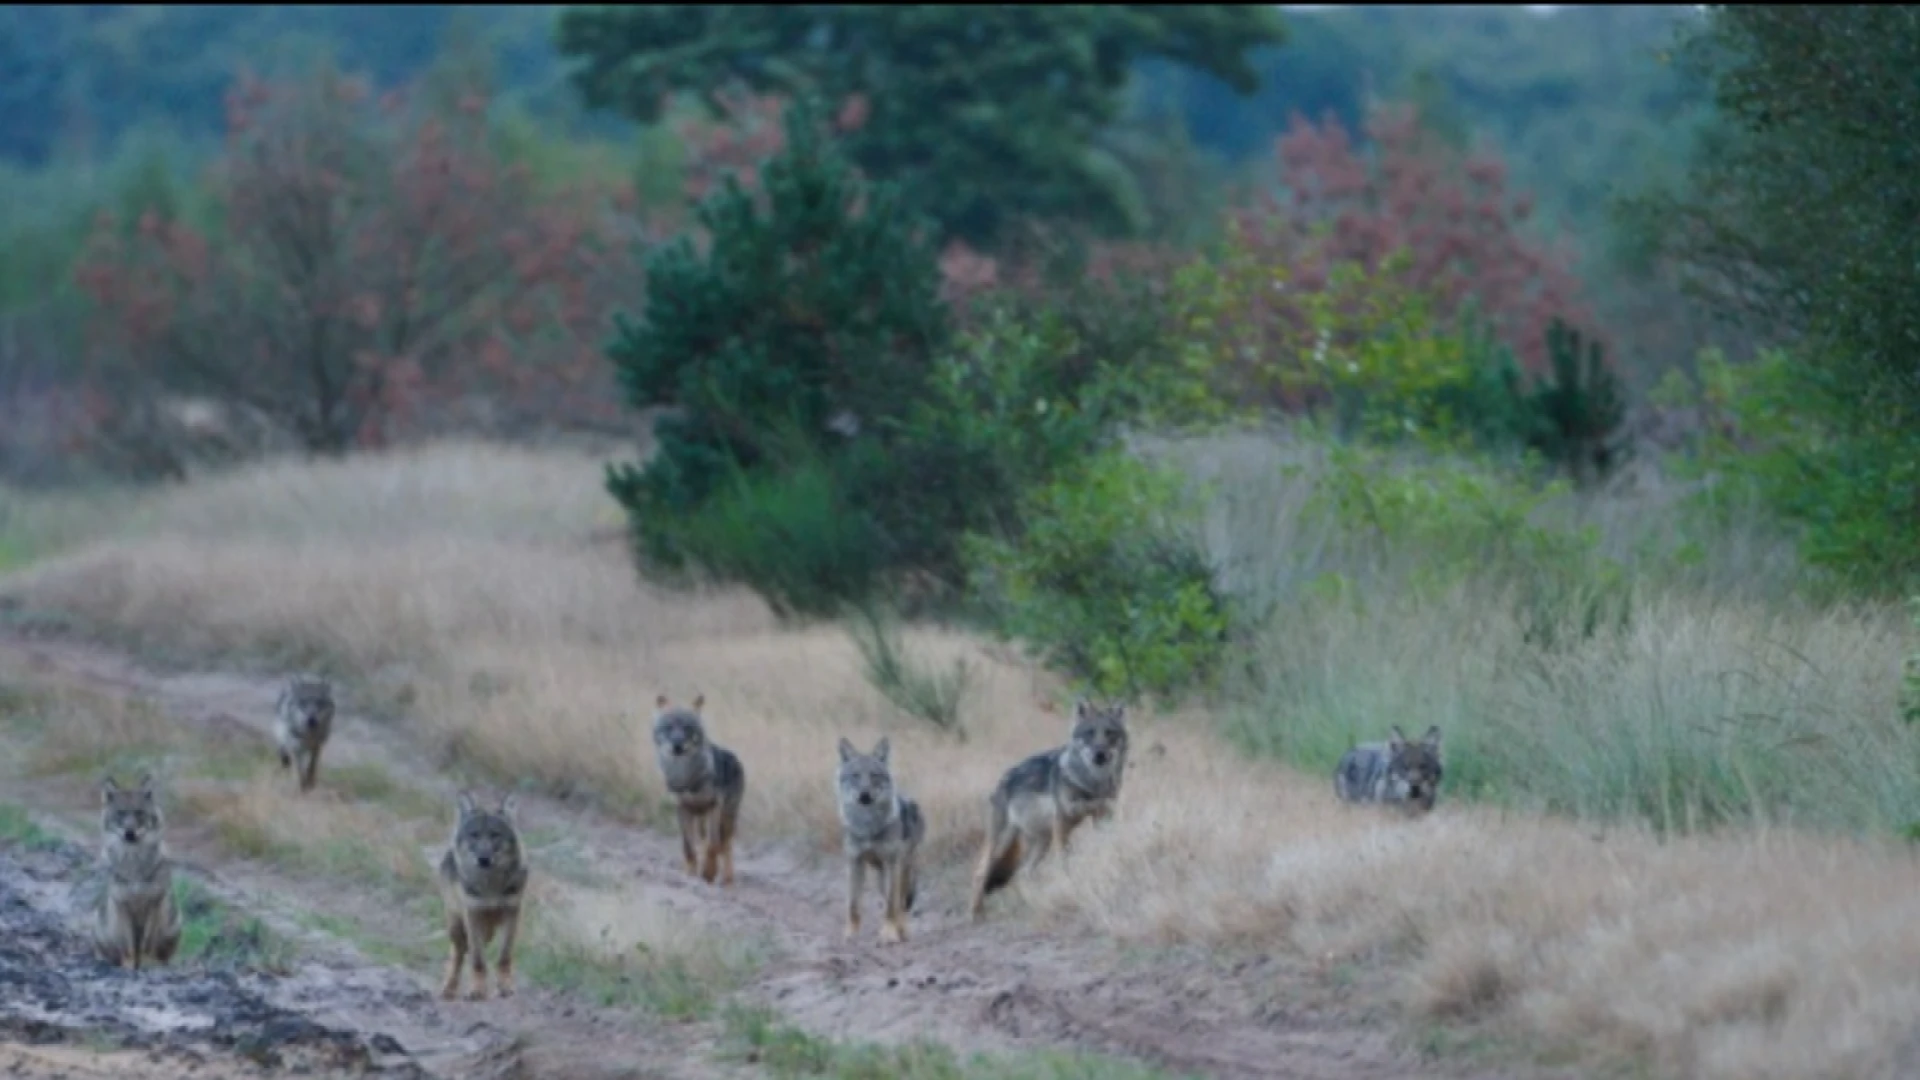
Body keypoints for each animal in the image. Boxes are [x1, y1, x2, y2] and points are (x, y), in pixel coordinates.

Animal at [93, 773, 182, 971]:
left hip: (173, 922)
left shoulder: (154, 903)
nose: (129, 832)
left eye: (139, 813)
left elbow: (147, 944)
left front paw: (148, 964)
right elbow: (129, 946)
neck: (133, 865)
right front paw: (129, 966)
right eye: (120, 814)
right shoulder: (122, 905)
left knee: (164, 956)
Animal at [436, 790, 528, 1001]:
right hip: (457, 925)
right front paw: (478, 990)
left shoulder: (513, 912)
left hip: (488, 930)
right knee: (458, 954)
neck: (491, 885)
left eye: (495, 835)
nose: (483, 859)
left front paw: (505, 986)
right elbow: (478, 960)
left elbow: (504, 956)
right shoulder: (473, 914)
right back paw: (449, 988)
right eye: (474, 835)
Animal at [651, 694, 746, 887]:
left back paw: (727, 879)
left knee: (725, 846)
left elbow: (712, 846)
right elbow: (688, 846)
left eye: (687, 728)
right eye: (669, 727)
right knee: (704, 842)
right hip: (700, 818)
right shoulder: (682, 808)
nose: (677, 745)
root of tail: (735, 757)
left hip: (726, 817)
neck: (686, 777)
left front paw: (709, 873)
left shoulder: (713, 807)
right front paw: (690, 874)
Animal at [836, 736, 925, 945]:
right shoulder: (855, 862)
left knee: (900, 904)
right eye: (855, 775)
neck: (868, 826)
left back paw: (902, 931)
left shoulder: (893, 863)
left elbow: (892, 906)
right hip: (881, 875)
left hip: (902, 869)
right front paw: (850, 934)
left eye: (874, 775)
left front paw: (889, 934)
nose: (864, 795)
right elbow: (853, 904)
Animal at [968, 699, 1129, 921]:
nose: (1100, 754)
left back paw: (1030, 901)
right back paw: (976, 914)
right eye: (1089, 733)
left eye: (1110, 733)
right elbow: (1063, 860)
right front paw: (1069, 881)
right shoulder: (1062, 819)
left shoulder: (1103, 816)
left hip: (1041, 843)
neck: (1093, 782)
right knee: (980, 872)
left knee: (1023, 873)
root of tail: (1001, 781)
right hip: (1002, 844)